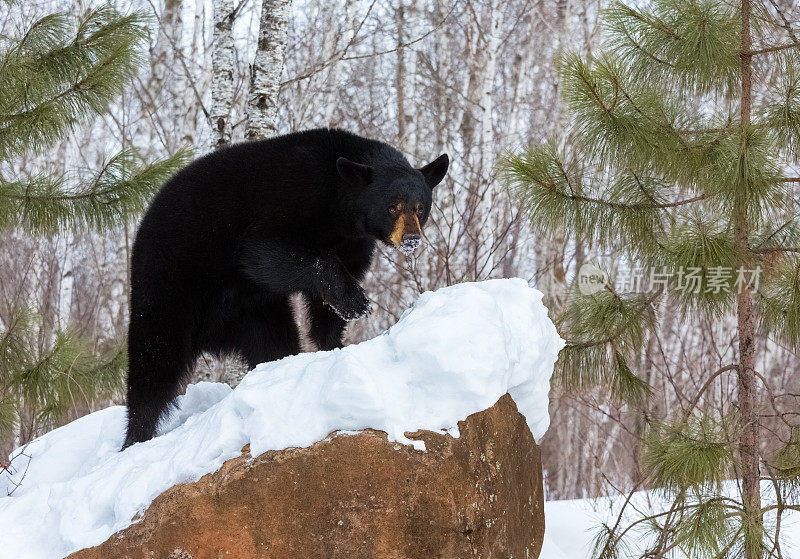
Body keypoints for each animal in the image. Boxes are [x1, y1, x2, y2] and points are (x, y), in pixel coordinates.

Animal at [125, 129, 450, 448]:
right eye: (392, 207)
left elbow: (325, 301)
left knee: (272, 340)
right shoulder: (289, 200)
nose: (411, 239)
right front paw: (355, 301)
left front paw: (334, 339)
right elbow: (263, 253)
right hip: (169, 282)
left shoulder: (353, 242)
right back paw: (136, 436)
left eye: (420, 208)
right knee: (154, 358)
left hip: (252, 311)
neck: (339, 204)